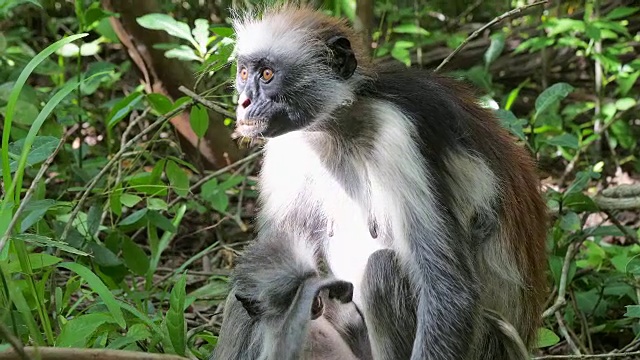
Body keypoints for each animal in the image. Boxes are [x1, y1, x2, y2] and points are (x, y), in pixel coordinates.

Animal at [212, 3, 548, 360]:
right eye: (243, 74)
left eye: (267, 75)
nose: (243, 102)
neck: (337, 126)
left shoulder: (397, 129)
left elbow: (449, 290)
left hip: (485, 344)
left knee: (381, 270)